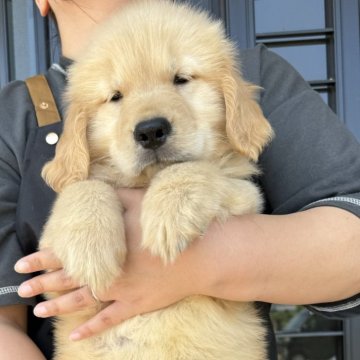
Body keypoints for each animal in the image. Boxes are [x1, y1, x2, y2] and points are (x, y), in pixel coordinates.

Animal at [40, 0, 272, 360]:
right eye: (115, 96)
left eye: (181, 79)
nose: (150, 131)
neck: (146, 182)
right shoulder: (57, 281)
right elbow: (83, 186)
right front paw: (89, 248)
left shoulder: (248, 198)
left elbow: (198, 169)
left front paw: (168, 214)